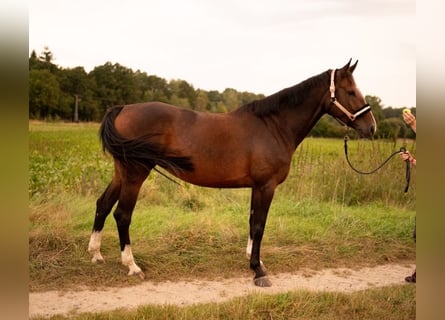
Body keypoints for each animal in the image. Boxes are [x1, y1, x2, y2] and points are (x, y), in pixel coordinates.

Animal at [86, 60, 374, 288]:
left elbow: (252, 221)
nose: (371, 127)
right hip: (135, 175)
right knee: (122, 215)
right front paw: (258, 271)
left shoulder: (257, 187)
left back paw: (96, 253)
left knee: (103, 204)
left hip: (121, 173)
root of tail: (123, 108)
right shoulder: (266, 186)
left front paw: (253, 259)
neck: (273, 126)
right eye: (350, 92)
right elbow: (259, 225)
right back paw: (132, 265)